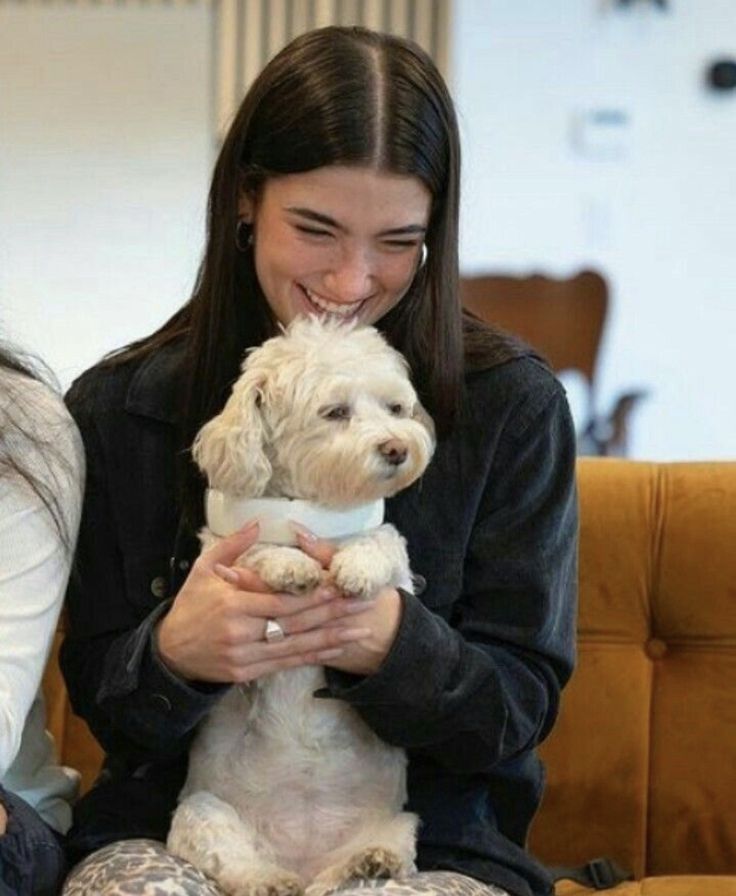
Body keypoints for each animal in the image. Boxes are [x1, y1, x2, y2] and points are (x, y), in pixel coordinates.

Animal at [167, 316, 436, 896]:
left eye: (395, 408)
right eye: (335, 412)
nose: (397, 447)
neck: (311, 511)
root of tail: (304, 861)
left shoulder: (398, 564)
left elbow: (383, 543)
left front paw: (355, 568)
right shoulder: (224, 558)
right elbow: (258, 549)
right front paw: (290, 566)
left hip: (402, 821)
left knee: (373, 857)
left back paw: (368, 862)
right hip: (202, 812)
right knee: (235, 863)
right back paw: (270, 879)